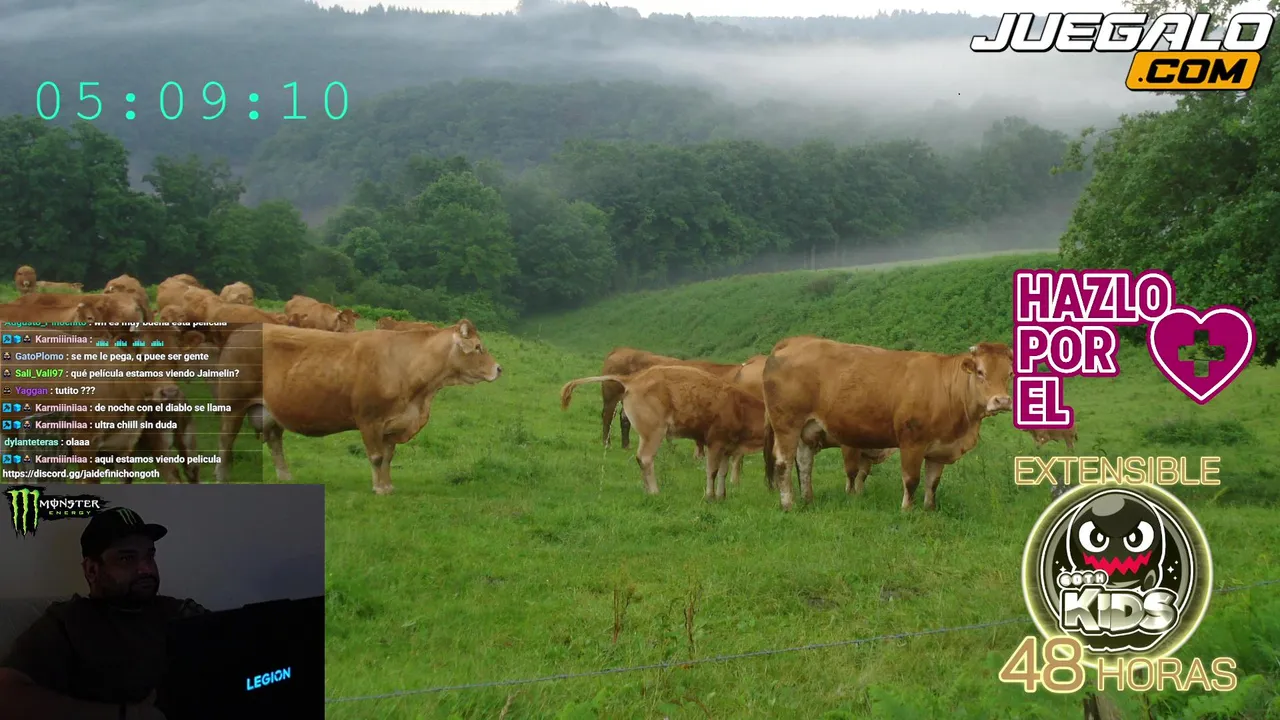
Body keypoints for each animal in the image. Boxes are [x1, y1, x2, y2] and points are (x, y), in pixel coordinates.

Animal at [213, 319, 501, 494]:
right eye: (478, 347)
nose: (499, 368)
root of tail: (242, 330)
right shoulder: (369, 420)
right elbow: (376, 457)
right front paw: (379, 489)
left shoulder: (393, 423)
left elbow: (388, 457)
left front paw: (388, 486)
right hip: (233, 406)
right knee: (226, 441)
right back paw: (222, 476)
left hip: (270, 410)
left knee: (274, 441)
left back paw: (285, 476)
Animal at [560, 365, 766, 500]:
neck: (740, 407)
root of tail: (634, 378)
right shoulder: (715, 443)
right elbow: (712, 471)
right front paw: (710, 496)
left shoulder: (727, 447)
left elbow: (723, 472)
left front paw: (722, 495)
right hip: (654, 431)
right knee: (645, 458)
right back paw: (654, 491)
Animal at [762, 338, 1013, 512]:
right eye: (980, 372)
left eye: (1010, 374)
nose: (1001, 400)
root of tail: (794, 341)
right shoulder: (912, 442)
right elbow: (911, 480)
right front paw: (907, 510)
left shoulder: (939, 448)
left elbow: (932, 482)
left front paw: (929, 509)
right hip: (787, 425)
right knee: (783, 464)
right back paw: (788, 505)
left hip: (807, 430)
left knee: (804, 464)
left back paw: (808, 500)